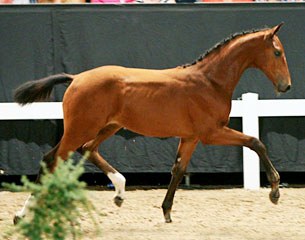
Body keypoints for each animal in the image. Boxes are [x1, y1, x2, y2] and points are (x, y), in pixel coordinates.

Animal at [13, 23, 290, 223]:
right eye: (277, 52)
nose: (286, 85)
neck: (210, 82)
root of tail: (76, 77)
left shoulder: (190, 137)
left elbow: (178, 170)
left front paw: (166, 211)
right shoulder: (211, 133)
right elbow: (255, 142)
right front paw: (275, 190)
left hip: (106, 126)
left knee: (87, 148)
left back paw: (120, 190)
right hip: (80, 128)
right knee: (52, 158)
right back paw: (23, 215)